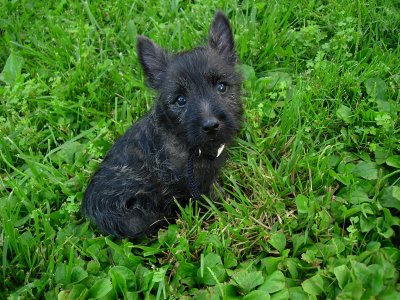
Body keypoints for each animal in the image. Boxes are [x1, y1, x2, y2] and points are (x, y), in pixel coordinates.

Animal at [82, 10, 241, 238]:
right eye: (180, 100)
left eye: (221, 86)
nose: (211, 125)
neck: (185, 141)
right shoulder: (197, 186)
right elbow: (216, 197)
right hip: (137, 218)